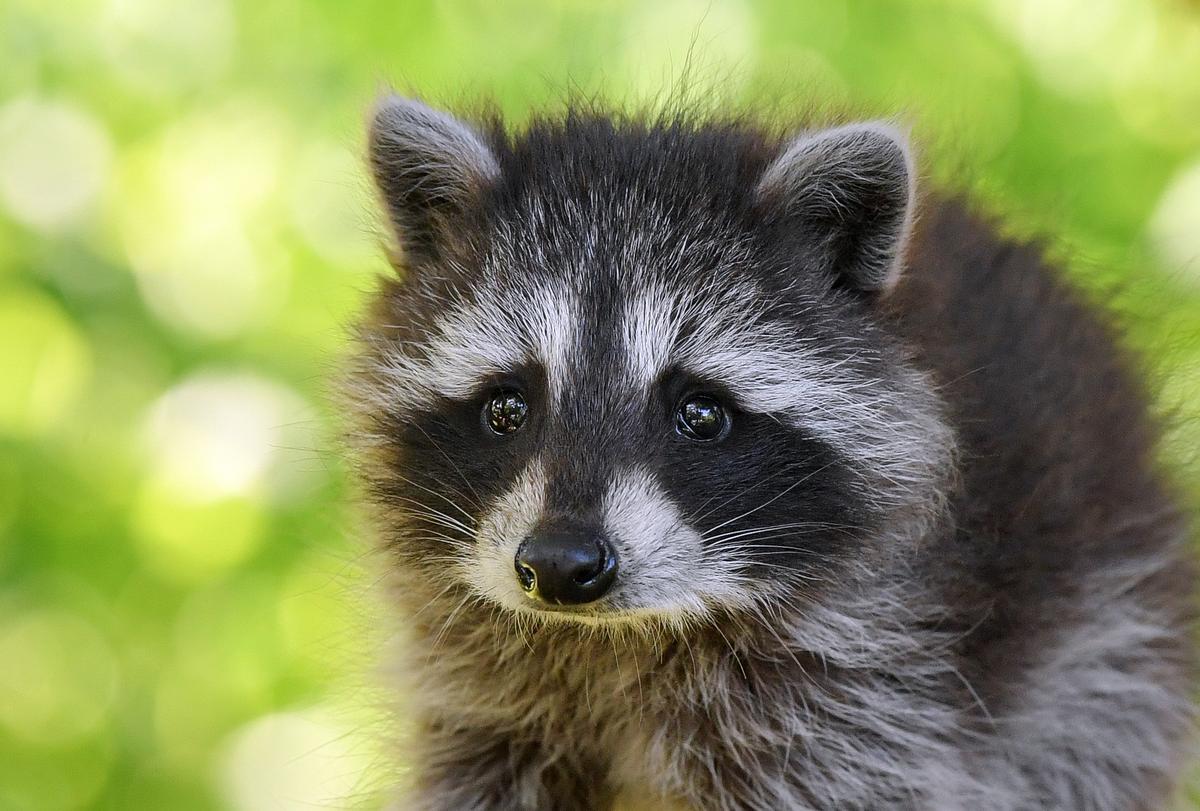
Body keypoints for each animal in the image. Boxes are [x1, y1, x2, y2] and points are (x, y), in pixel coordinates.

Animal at [345, 96, 1190, 811]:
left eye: (701, 414)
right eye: (507, 407)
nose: (559, 564)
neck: (615, 640)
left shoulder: (864, 688)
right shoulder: (481, 695)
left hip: (1101, 669)